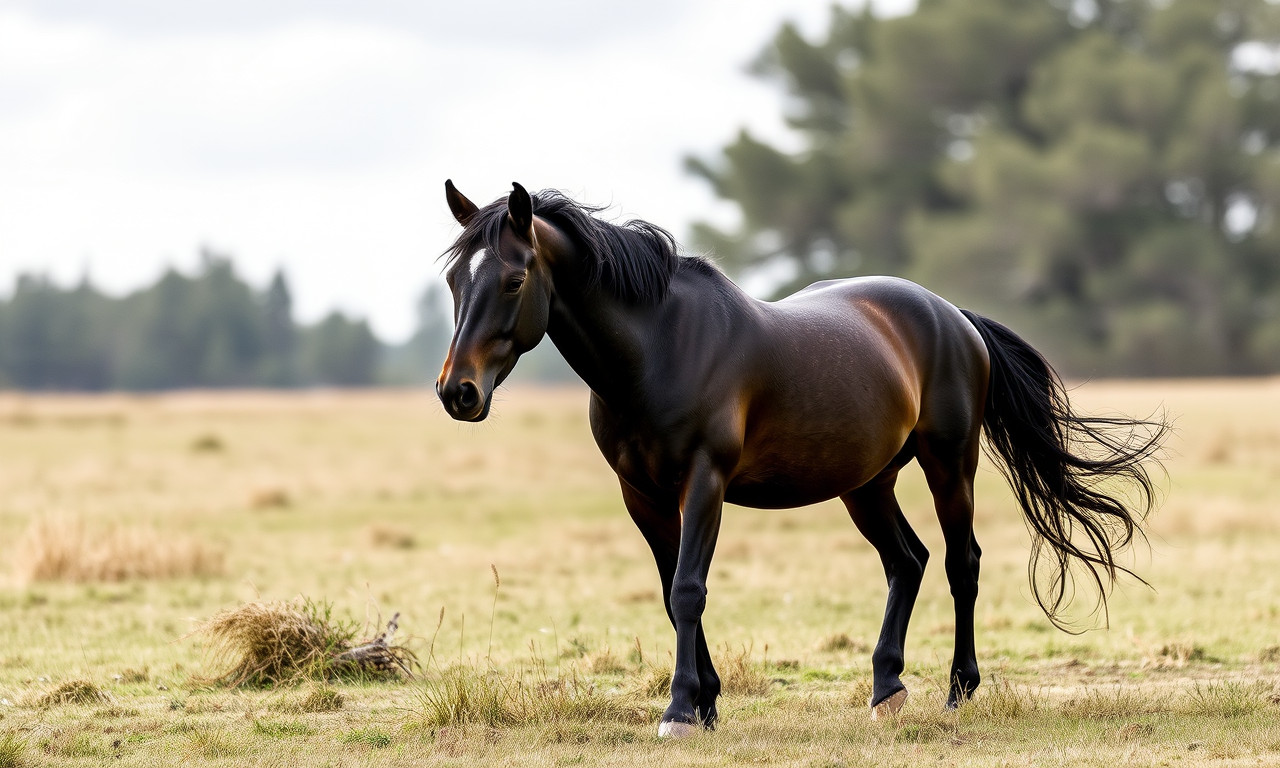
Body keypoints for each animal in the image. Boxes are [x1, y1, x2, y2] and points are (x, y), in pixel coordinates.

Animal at [435, 180, 1167, 737]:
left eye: (514, 278)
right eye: (452, 280)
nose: (457, 392)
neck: (659, 348)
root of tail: (952, 315)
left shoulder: (703, 481)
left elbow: (689, 588)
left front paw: (679, 712)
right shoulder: (640, 495)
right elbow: (673, 596)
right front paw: (705, 703)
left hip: (949, 463)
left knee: (962, 563)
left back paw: (958, 690)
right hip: (866, 484)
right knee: (908, 561)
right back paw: (886, 688)